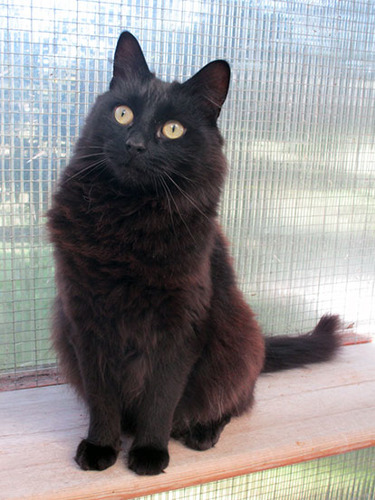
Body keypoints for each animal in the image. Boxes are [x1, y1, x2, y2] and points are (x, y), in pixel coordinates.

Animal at [47, 32, 340, 476]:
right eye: (122, 113)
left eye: (172, 129)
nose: (135, 145)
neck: (129, 221)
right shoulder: (86, 318)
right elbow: (102, 397)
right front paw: (101, 447)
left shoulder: (182, 324)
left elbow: (161, 398)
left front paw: (149, 453)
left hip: (236, 341)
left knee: (237, 401)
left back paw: (202, 432)